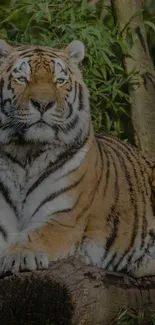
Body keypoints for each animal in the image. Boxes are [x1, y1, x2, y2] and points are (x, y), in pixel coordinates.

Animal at [0, 38, 155, 278]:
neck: (27, 153)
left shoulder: (64, 217)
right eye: (22, 79)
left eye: (59, 81)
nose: (43, 104)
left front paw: (18, 255)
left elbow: (35, 236)